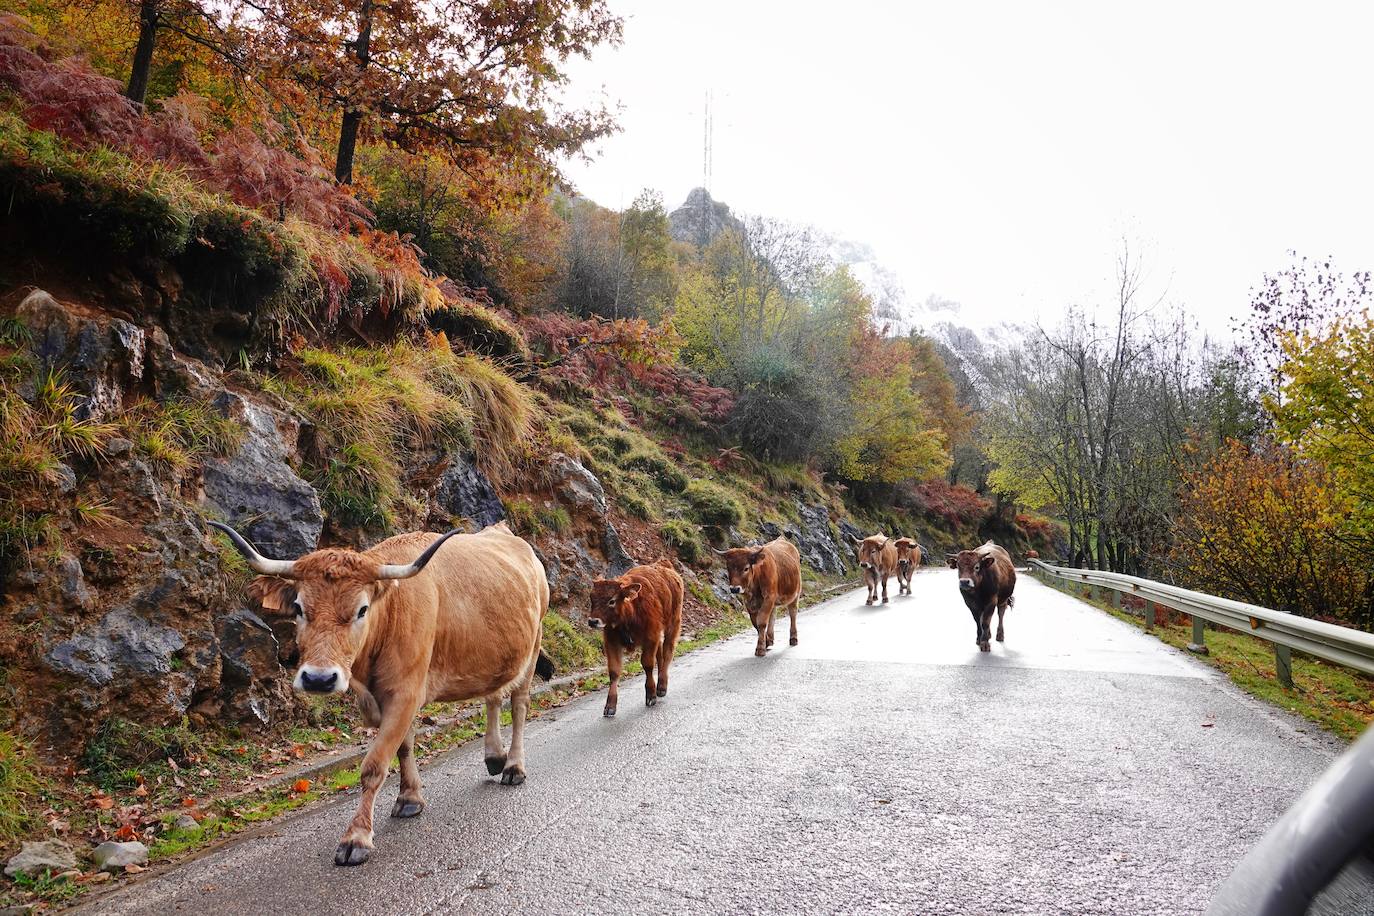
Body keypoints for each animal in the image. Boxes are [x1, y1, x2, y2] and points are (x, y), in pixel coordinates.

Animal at [207, 521, 546, 867]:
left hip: (533, 648)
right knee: (493, 697)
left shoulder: (406, 693)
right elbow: (404, 747)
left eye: (362, 610)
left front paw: (356, 837)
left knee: (519, 706)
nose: (318, 678)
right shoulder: (385, 700)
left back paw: (513, 767)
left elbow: (375, 765)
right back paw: (494, 756)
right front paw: (410, 797)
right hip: (499, 655)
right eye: (299, 608)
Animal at [588, 563, 684, 719]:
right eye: (592, 598)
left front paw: (651, 694)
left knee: (668, 652)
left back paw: (662, 686)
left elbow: (648, 664)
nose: (592, 621)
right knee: (661, 655)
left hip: (673, 623)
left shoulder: (650, 637)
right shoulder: (611, 642)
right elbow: (614, 671)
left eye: (612, 601)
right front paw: (610, 705)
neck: (630, 614)